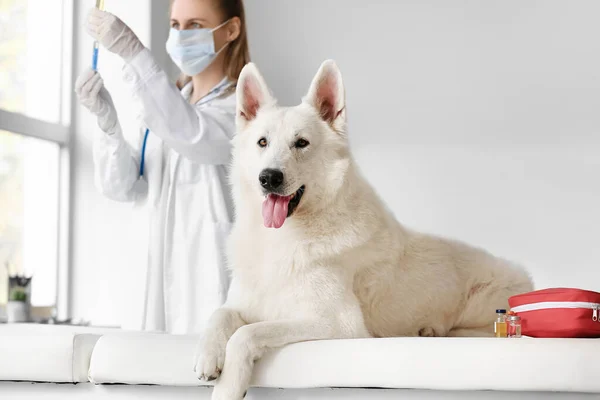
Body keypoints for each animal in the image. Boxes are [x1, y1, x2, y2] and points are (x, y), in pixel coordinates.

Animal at [193, 60, 536, 400]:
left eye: (301, 143)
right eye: (262, 142)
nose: (269, 178)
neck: (281, 237)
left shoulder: (338, 324)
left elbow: (246, 333)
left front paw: (228, 386)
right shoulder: (244, 304)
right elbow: (221, 314)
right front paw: (208, 355)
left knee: (474, 332)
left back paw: (431, 330)